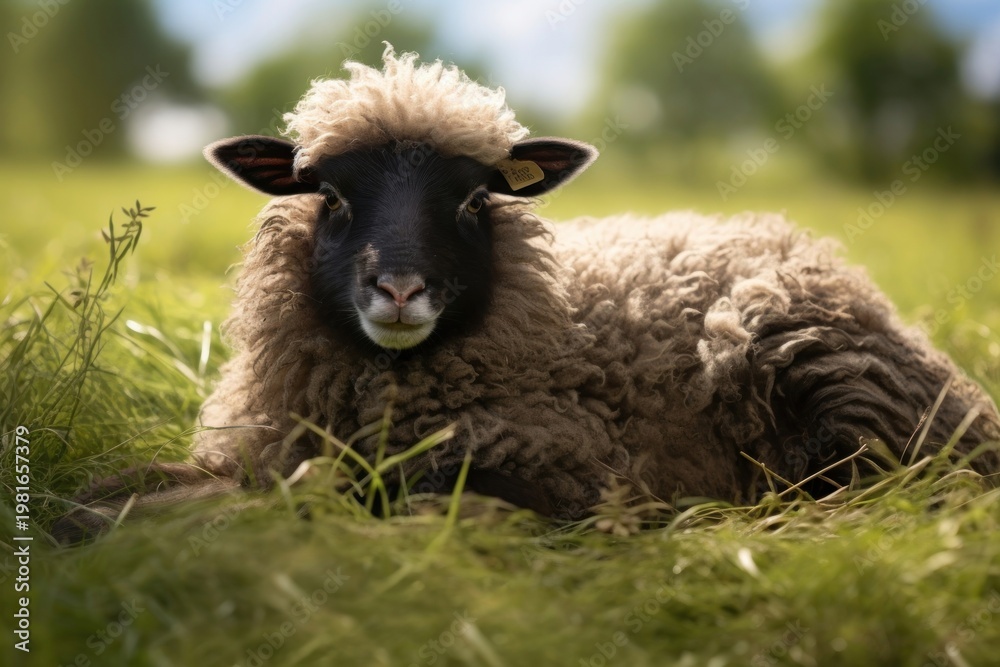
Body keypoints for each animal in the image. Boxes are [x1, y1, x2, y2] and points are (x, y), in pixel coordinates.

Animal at [55, 45, 1000, 541]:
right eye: (331, 195)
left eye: (475, 201)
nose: (400, 287)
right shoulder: (251, 449)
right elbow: (124, 481)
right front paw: (80, 514)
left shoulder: (560, 474)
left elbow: (346, 498)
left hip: (826, 383)